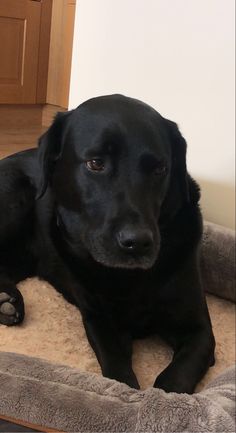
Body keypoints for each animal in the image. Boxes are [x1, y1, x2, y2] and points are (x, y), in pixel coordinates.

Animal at [0, 94, 215, 392]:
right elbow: (117, 372)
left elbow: (175, 378)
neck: (129, 279)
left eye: (160, 169)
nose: (137, 242)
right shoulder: (99, 321)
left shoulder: (199, 330)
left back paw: (6, 300)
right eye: (95, 163)